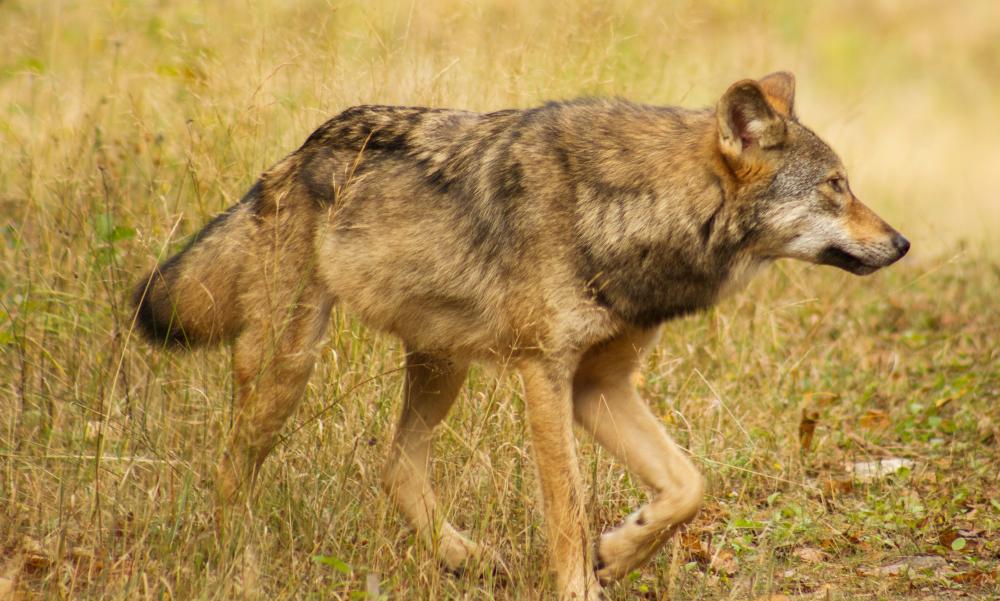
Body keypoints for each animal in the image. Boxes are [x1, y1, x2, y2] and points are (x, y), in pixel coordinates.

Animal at [131, 72, 908, 596]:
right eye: (836, 185)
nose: (901, 243)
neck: (635, 212)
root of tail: (294, 155)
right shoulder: (547, 376)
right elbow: (566, 510)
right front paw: (583, 582)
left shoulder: (601, 384)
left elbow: (689, 485)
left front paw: (619, 549)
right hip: (293, 363)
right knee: (231, 469)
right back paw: (239, 565)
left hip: (441, 366)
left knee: (396, 466)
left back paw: (465, 557)